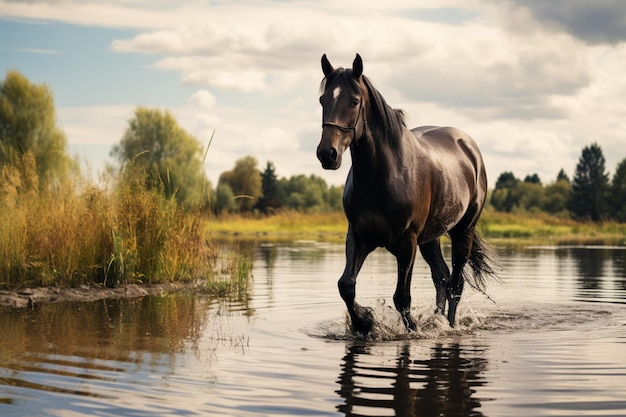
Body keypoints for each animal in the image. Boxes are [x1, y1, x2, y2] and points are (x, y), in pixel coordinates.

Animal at [316, 54, 498, 334]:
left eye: (355, 101)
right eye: (323, 100)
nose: (328, 154)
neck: (383, 176)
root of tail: (468, 146)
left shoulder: (406, 243)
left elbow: (402, 297)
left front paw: (411, 329)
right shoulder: (358, 236)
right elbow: (346, 286)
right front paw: (364, 322)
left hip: (462, 232)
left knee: (455, 283)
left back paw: (449, 325)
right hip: (430, 239)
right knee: (441, 278)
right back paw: (437, 320)